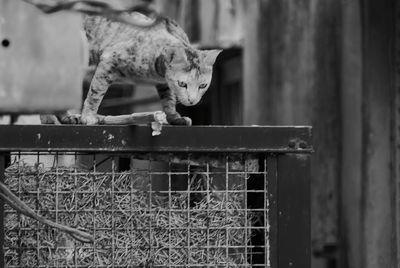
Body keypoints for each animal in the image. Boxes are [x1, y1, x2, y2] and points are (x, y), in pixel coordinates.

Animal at [65, 12, 222, 125]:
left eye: (203, 85)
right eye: (182, 84)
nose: (192, 100)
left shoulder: (164, 82)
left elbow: (169, 100)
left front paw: (175, 118)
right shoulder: (109, 61)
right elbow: (96, 93)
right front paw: (88, 116)